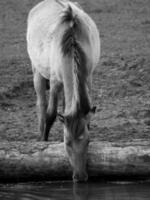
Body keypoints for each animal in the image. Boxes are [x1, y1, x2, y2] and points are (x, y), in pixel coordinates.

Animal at [26, 0, 99, 182]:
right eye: (67, 143)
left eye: (88, 141)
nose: (80, 177)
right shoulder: (55, 82)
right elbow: (51, 114)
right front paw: (44, 142)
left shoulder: (88, 77)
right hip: (37, 72)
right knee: (41, 104)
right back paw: (40, 134)